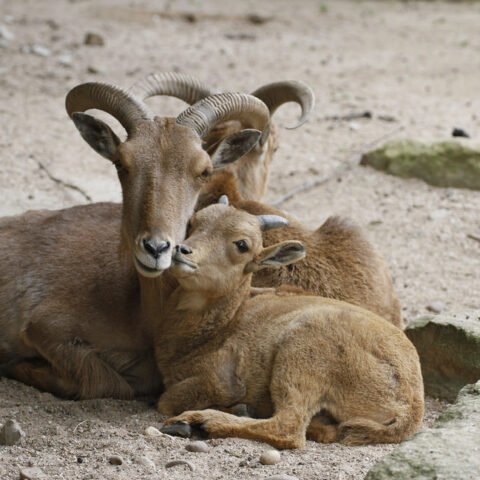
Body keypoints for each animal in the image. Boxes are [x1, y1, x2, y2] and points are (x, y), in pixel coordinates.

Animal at [156, 197, 422, 448]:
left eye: (242, 244)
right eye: (194, 222)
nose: (182, 250)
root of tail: (410, 406)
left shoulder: (223, 379)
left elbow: (166, 400)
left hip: (301, 355)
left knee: (289, 427)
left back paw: (201, 421)